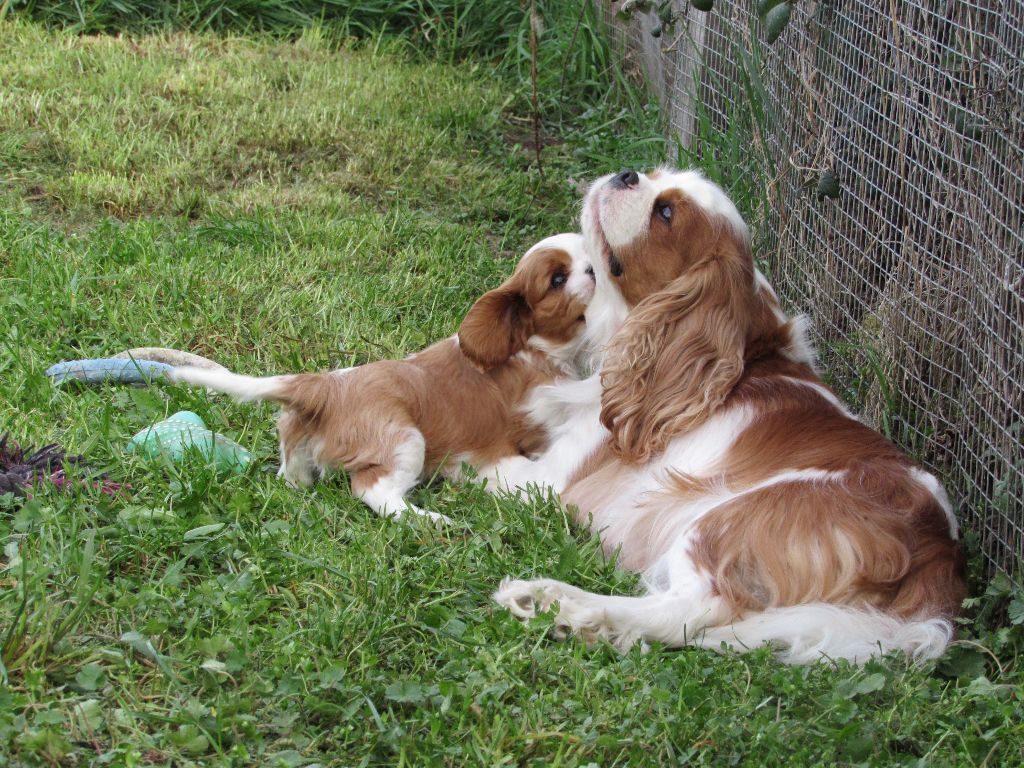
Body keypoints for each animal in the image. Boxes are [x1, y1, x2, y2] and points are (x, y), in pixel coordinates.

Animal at [174, 234, 593, 524]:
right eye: (558, 279)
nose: (594, 268)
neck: (535, 350)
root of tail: (322, 387)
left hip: (300, 444)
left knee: (292, 476)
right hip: (404, 439)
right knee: (373, 489)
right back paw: (429, 521)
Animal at [491, 171, 962, 663]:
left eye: (665, 213)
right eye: (657, 176)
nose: (627, 174)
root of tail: (939, 552)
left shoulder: (550, 479)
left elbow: (498, 471)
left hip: (725, 522)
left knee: (686, 610)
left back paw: (557, 603)